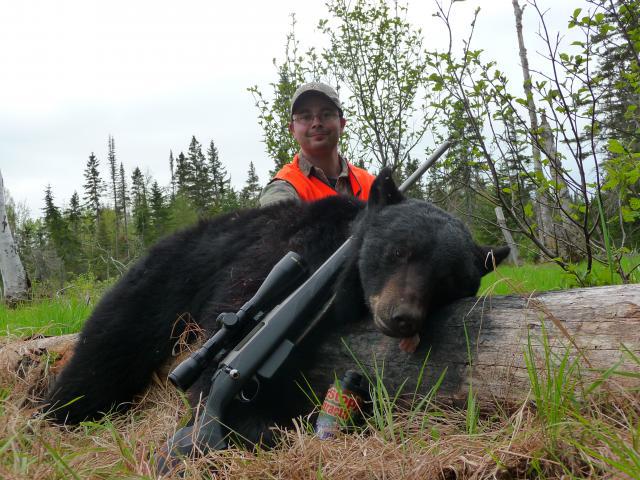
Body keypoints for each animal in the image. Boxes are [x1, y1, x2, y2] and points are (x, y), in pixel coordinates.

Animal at [42, 170, 508, 446]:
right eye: (398, 251)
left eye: (447, 280)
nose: (402, 317)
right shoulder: (276, 259)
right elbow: (226, 337)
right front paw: (248, 426)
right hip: (160, 280)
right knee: (109, 345)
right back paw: (58, 413)